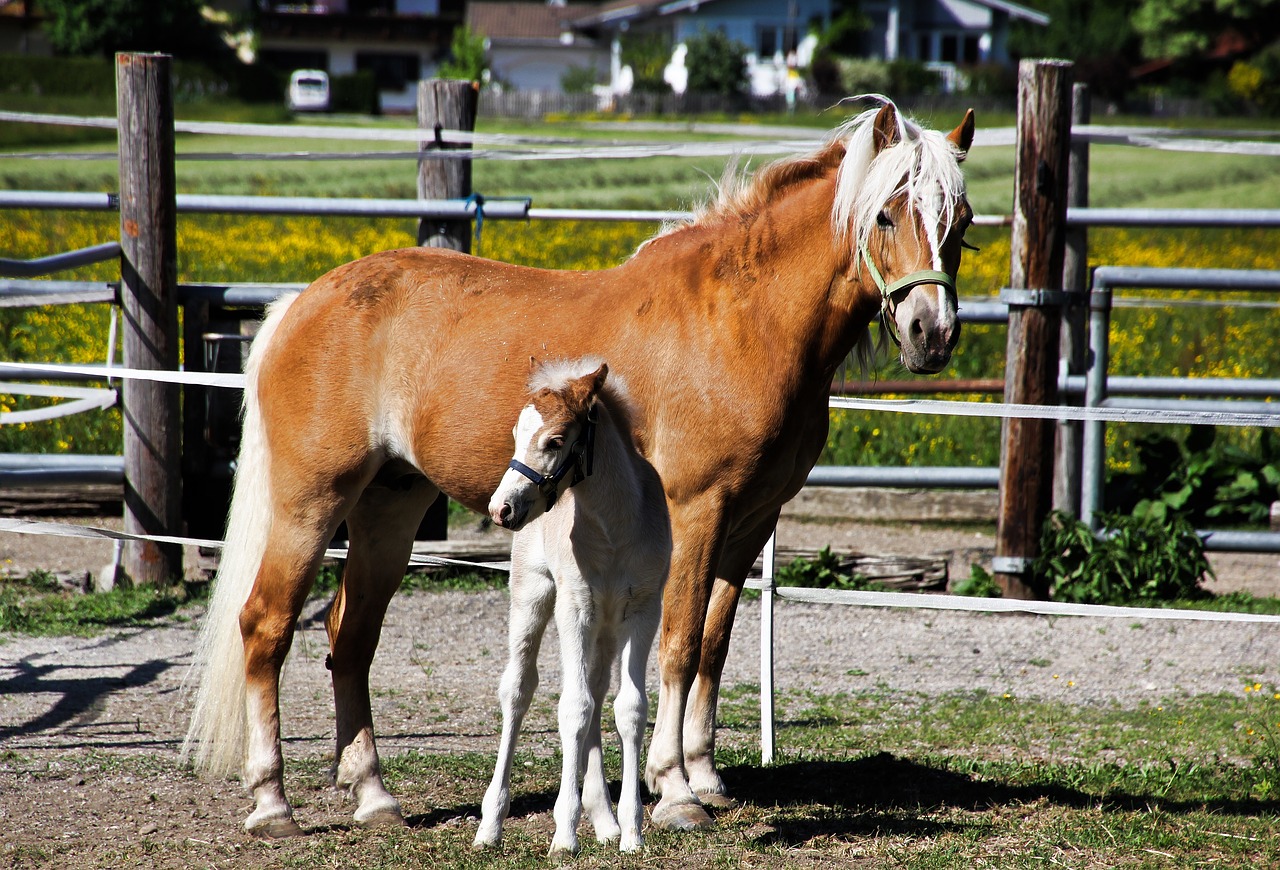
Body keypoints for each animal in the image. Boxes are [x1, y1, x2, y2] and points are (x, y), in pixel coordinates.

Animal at [473, 360, 670, 854]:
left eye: (556, 440)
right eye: (515, 434)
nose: (501, 508)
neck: (614, 528)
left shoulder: (643, 611)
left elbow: (629, 708)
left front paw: (632, 833)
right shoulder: (574, 607)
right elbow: (573, 709)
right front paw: (564, 834)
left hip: (606, 626)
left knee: (599, 691)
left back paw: (605, 821)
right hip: (534, 595)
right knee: (519, 689)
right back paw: (490, 826)